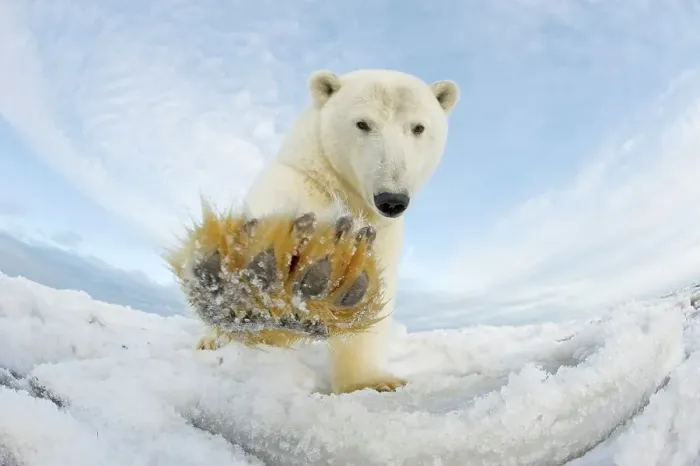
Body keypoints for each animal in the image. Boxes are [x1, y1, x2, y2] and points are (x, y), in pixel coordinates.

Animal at [240, 68, 460, 394]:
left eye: (418, 127)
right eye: (363, 123)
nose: (392, 199)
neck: (344, 190)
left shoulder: (379, 229)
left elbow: (365, 287)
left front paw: (372, 381)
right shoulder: (295, 192)